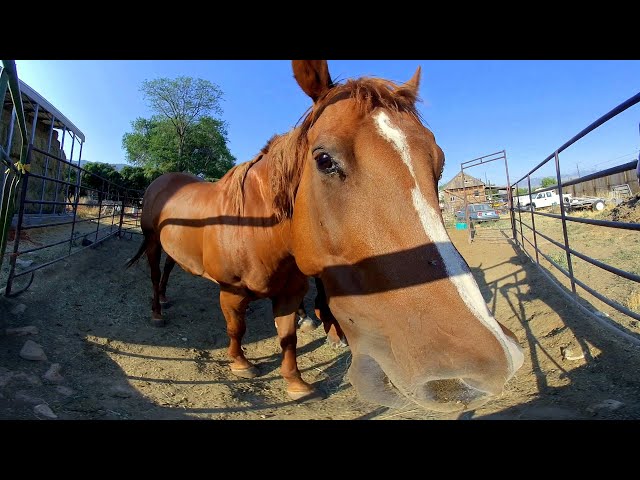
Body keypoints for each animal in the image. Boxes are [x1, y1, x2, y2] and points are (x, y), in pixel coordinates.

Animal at [127, 60, 524, 412]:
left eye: (438, 162)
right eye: (324, 160)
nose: (486, 362)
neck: (256, 230)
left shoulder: (289, 293)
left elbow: (287, 338)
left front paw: (295, 383)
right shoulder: (232, 291)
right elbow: (236, 327)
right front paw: (240, 363)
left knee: (167, 270)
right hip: (152, 242)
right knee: (153, 272)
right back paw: (157, 311)